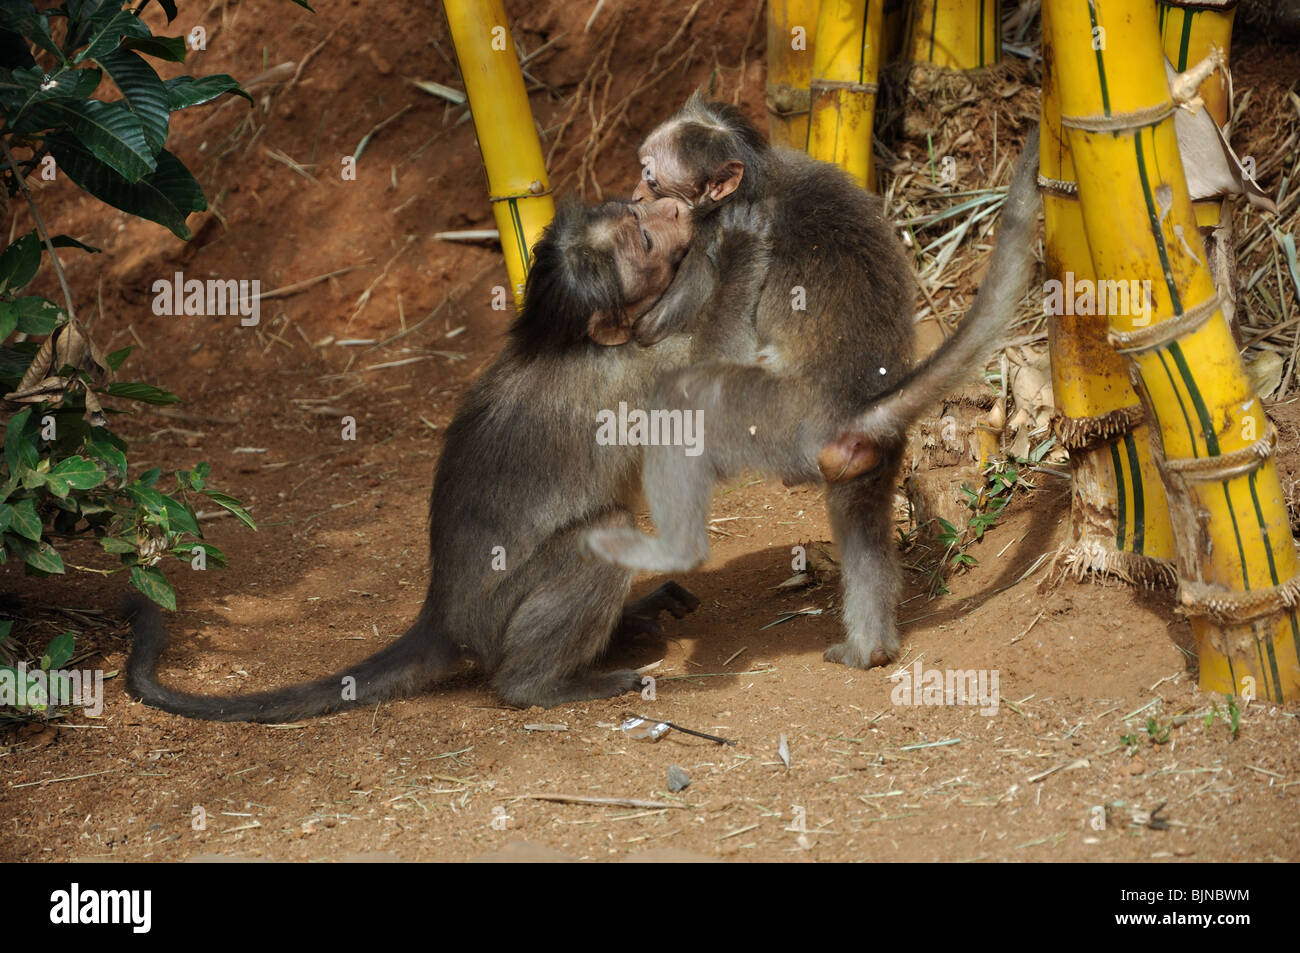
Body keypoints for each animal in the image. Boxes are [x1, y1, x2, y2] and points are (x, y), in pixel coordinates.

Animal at [122, 200, 769, 722]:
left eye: (639, 210)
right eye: (645, 240)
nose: (674, 208)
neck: (566, 342)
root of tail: (444, 613)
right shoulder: (643, 360)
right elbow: (727, 360)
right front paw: (741, 238)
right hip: (496, 615)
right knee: (603, 532)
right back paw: (538, 687)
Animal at [585, 92, 1040, 665]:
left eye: (652, 179)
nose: (635, 196)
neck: (757, 175)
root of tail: (857, 406)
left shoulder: (708, 241)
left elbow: (701, 343)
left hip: (775, 417)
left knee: (690, 393)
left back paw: (671, 549)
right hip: (866, 449)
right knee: (859, 514)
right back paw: (870, 649)